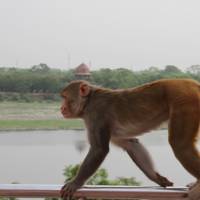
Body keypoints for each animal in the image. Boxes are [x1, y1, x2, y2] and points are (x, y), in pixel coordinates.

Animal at [60, 79, 200, 199]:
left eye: (65, 97)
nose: (61, 108)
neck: (88, 101)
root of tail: (192, 83)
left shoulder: (95, 115)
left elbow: (99, 149)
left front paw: (75, 183)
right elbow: (131, 144)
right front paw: (157, 178)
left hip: (185, 100)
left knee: (180, 145)